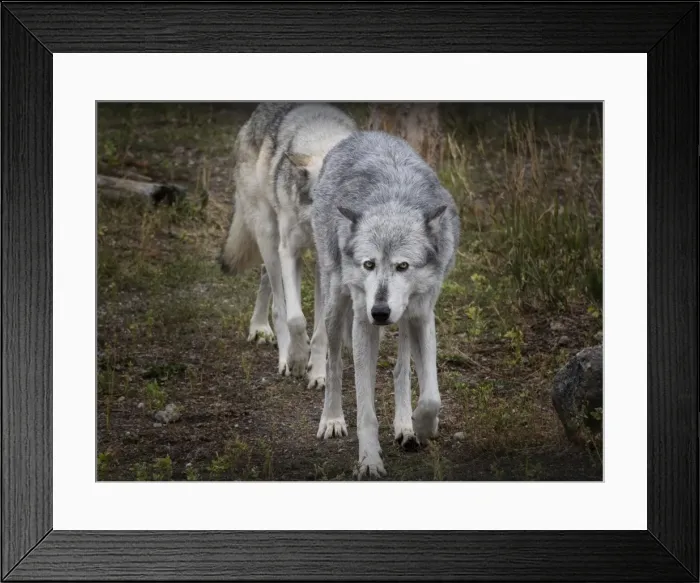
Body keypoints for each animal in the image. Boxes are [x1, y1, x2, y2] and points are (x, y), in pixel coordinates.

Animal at [219, 103, 358, 388]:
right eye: (318, 199)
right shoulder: (290, 252)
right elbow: (295, 318)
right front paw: (297, 360)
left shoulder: (325, 267)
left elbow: (322, 329)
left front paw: (318, 372)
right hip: (269, 235)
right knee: (278, 304)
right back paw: (270, 339)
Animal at [310, 130, 461, 479]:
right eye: (369, 265)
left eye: (402, 266)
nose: (379, 312)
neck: (393, 199)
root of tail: (362, 134)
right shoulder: (363, 324)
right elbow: (366, 409)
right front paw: (369, 461)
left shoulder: (422, 315)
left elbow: (431, 395)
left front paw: (420, 426)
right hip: (336, 307)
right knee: (334, 365)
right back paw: (332, 419)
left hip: (403, 319)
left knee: (400, 369)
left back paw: (405, 425)